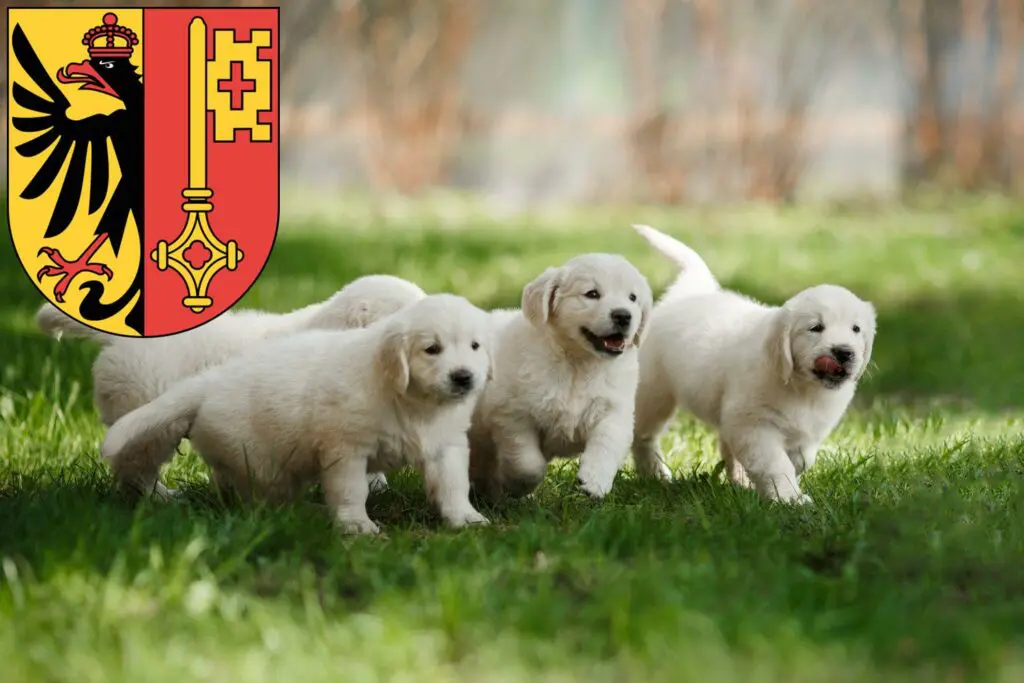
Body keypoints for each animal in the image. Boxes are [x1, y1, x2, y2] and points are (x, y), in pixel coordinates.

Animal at [468, 253, 651, 499]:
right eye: (592, 294)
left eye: (632, 298)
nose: (623, 315)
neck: (579, 364)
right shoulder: (512, 415)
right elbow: (527, 463)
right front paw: (517, 486)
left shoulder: (614, 409)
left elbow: (608, 442)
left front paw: (595, 481)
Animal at [626, 224, 876, 501]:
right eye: (816, 328)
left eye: (856, 329)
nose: (844, 352)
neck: (801, 386)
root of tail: (690, 292)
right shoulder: (753, 425)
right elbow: (776, 463)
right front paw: (789, 498)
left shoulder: (806, 432)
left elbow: (801, 459)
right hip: (653, 392)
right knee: (643, 435)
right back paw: (655, 474)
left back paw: (739, 481)